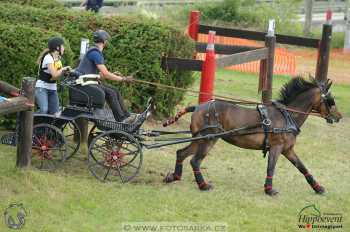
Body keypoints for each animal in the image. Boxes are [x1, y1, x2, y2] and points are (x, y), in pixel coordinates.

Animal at [163, 77, 340, 195]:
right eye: (331, 100)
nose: (339, 116)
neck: (287, 115)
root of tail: (198, 107)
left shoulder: (288, 150)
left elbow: (302, 167)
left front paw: (318, 187)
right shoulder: (276, 147)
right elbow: (271, 167)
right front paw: (269, 190)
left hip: (198, 139)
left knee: (181, 153)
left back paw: (175, 176)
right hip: (209, 139)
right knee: (195, 161)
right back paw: (203, 185)